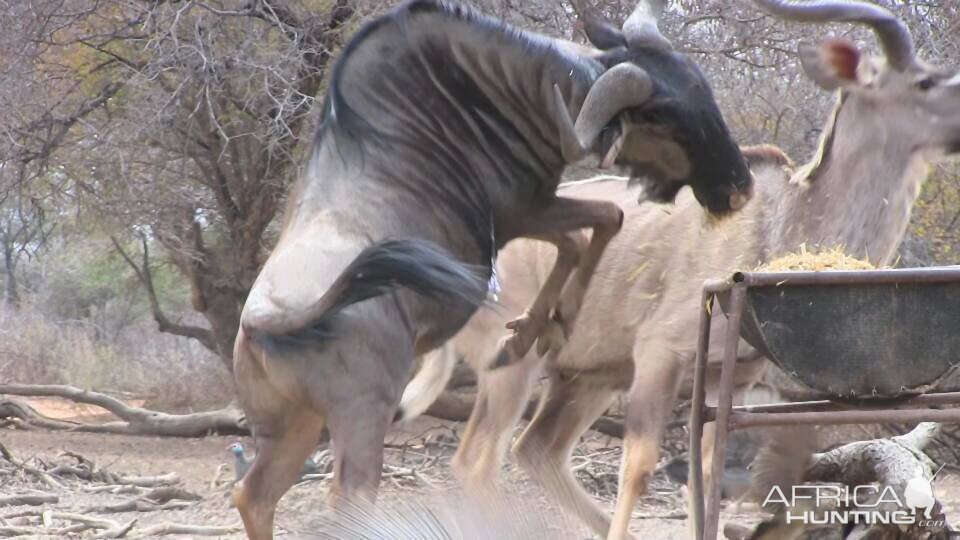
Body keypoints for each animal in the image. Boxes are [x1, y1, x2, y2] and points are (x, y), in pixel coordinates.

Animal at [231, 2, 752, 536]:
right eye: (663, 119)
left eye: (701, 91)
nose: (739, 187)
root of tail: (265, 321)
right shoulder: (523, 210)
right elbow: (606, 219)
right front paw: (550, 324)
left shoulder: (523, 219)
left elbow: (582, 237)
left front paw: (532, 330)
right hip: (361, 423)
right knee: (347, 501)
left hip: (292, 429)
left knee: (253, 496)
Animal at [400, 2, 960, 536]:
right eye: (924, 82)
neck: (784, 219)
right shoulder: (660, 353)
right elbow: (641, 464)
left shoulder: (726, 376)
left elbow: (706, 468)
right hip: (515, 364)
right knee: (477, 461)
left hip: (588, 376)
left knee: (536, 451)